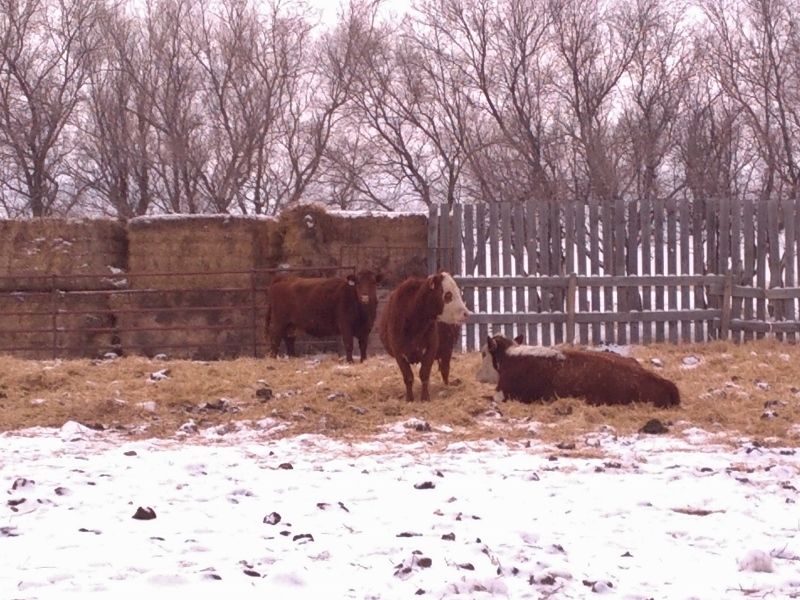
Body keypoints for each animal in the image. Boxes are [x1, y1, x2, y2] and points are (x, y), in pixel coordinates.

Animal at [379, 272, 470, 401]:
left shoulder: (431, 349)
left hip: (447, 350)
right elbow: (408, 377)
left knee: (445, 370)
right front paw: (410, 399)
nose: (466, 313)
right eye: (448, 294)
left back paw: (446, 386)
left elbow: (424, 374)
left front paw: (425, 397)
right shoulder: (398, 353)